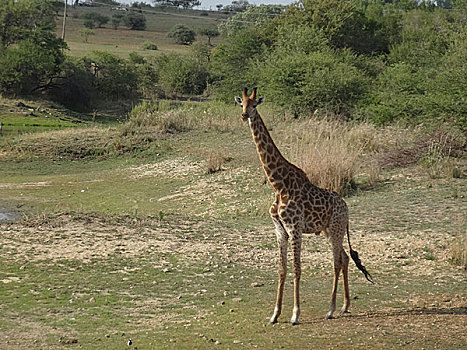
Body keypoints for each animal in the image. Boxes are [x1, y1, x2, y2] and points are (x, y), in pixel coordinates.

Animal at [236, 87, 374, 326]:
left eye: (254, 105)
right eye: (241, 103)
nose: (245, 115)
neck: (278, 185)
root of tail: (346, 208)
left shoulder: (295, 228)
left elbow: (297, 269)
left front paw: (294, 314)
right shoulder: (279, 229)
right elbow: (282, 269)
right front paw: (274, 315)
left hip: (336, 229)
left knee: (336, 261)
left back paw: (331, 310)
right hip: (329, 230)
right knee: (345, 258)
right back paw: (345, 306)